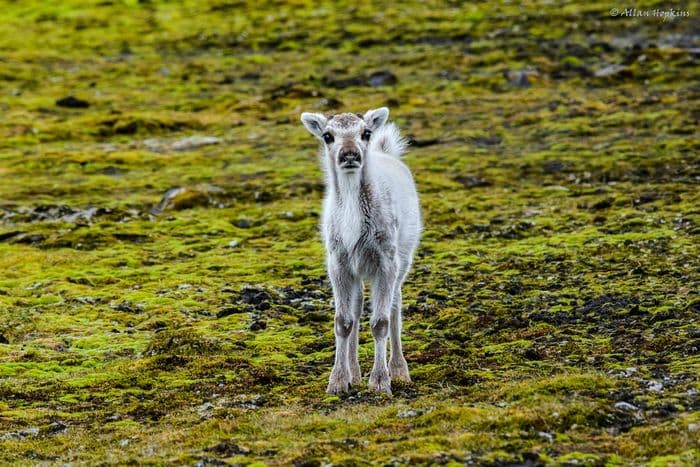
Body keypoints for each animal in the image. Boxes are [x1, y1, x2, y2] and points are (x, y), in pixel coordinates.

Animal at [300, 109, 422, 394]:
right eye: (327, 136)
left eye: (366, 133)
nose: (349, 154)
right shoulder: (338, 262)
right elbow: (343, 321)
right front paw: (337, 381)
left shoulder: (385, 260)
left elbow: (380, 323)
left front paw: (380, 382)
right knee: (356, 308)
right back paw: (354, 373)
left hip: (403, 258)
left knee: (395, 305)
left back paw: (399, 370)